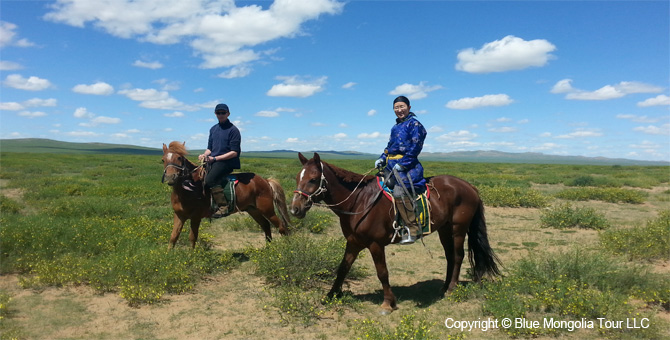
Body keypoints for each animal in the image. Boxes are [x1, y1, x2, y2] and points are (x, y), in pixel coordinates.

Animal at [163, 141, 292, 250]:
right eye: (163, 159)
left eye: (179, 158)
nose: (170, 177)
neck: (190, 188)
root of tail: (265, 180)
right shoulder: (179, 215)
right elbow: (173, 237)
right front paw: (169, 256)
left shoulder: (196, 217)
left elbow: (192, 237)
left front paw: (191, 256)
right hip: (253, 210)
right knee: (266, 225)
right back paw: (268, 248)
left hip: (267, 209)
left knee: (281, 226)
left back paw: (286, 249)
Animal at [292, 153, 502, 314]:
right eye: (297, 178)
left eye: (312, 179)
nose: (295, 209)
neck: (359, 201)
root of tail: (469, 186)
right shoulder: (353, 242)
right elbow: (343, 268)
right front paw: (330, 295)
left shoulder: (375, 244)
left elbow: (382, 273)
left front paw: (388, 303)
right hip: (445, 229)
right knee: (450, 256)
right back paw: (443, 287)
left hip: (459, 228)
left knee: (458, 256)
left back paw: (451, 289)